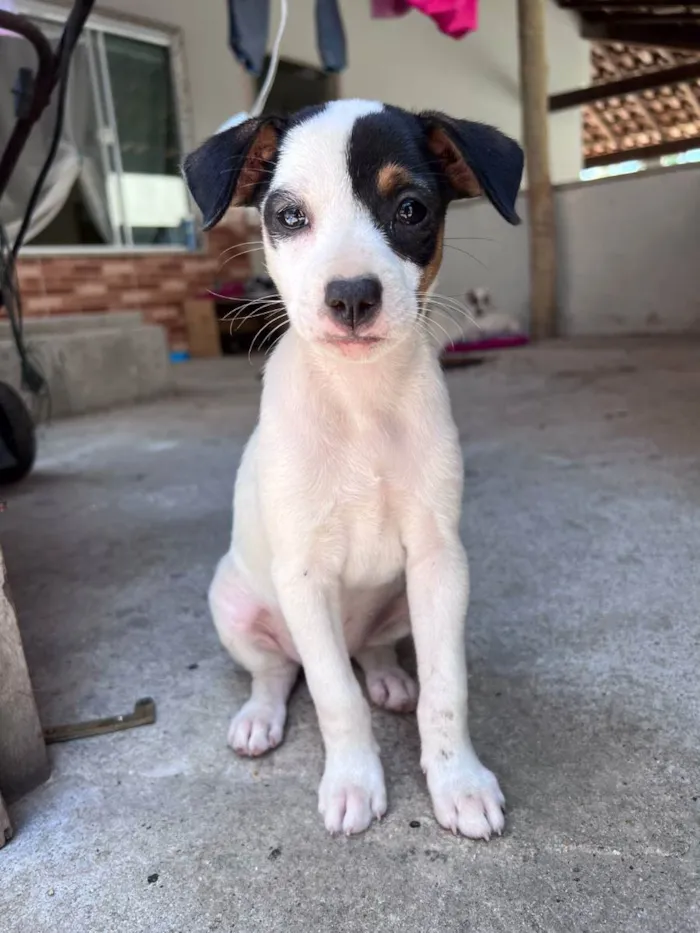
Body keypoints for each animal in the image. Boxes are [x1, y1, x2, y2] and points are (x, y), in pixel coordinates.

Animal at [183, 100, 524, 836]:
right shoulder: (304, 575)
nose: (351, 298)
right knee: (280, 672)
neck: (361, 404)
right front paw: (352, 782)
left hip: (399, 602)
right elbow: (335, 696)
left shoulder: (439, 561)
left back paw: (390, 677)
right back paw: (259, 718)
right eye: (289, 216)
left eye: (411, 208)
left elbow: (446, 688)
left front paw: (458, 780)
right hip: (234, 603)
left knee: (369, 650)